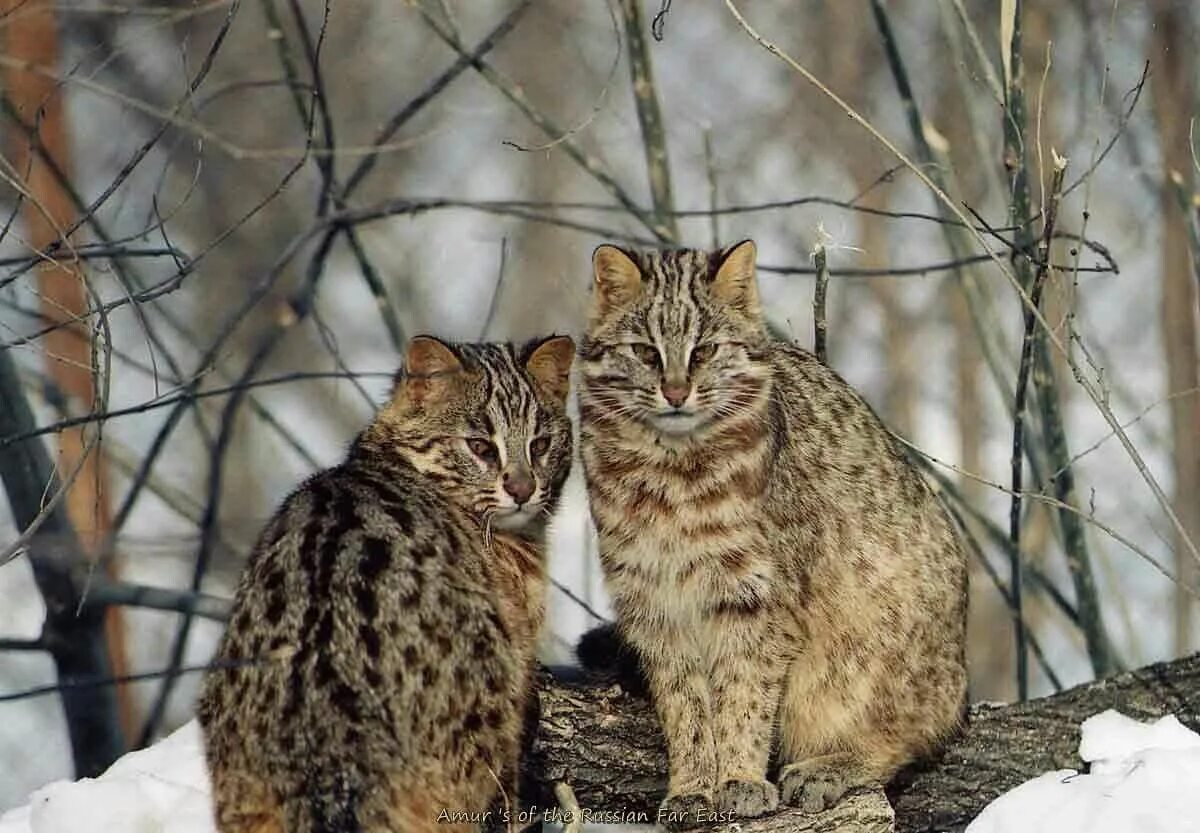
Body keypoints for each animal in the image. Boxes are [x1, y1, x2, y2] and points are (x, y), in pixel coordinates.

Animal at [576, 241, 969, 830]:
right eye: (645, 351)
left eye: (706, 350)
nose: (675, 392)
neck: (669, 477)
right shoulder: (651, 600)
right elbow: (684, 706)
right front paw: (692, 787)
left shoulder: (757, 598)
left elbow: (744, 694)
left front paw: (739, 779)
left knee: (910, 729)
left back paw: (833, 765)